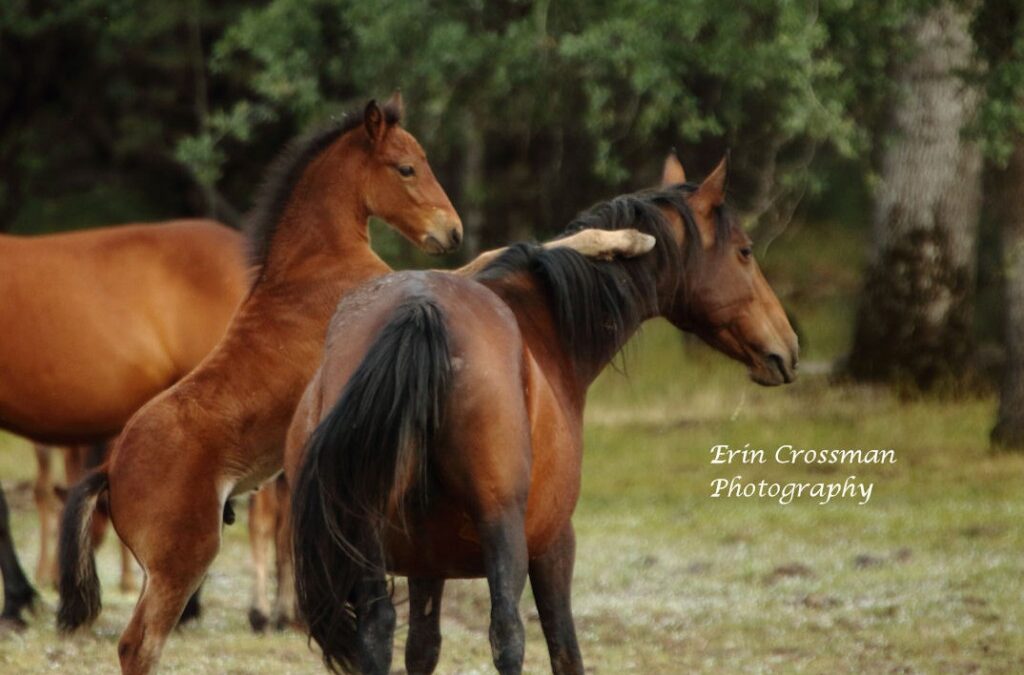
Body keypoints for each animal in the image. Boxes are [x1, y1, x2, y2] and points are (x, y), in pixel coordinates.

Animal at [54, 96, 647, 675]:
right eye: (405, 167)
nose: (450, 231)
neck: (315, 261)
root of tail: (111, 469)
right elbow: (506, 250)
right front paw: (630, 238)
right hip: (183, 560)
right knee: (138, 645)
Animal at [286, 155, 798, 671]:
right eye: (744, 252)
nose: (788, 347)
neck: (542, 326)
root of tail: (421, 309)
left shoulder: (427, 563)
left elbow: (422, 649)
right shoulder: (555, 545)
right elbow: (564, 648)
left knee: (378, 632)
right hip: (504, 531)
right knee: (507, 633)